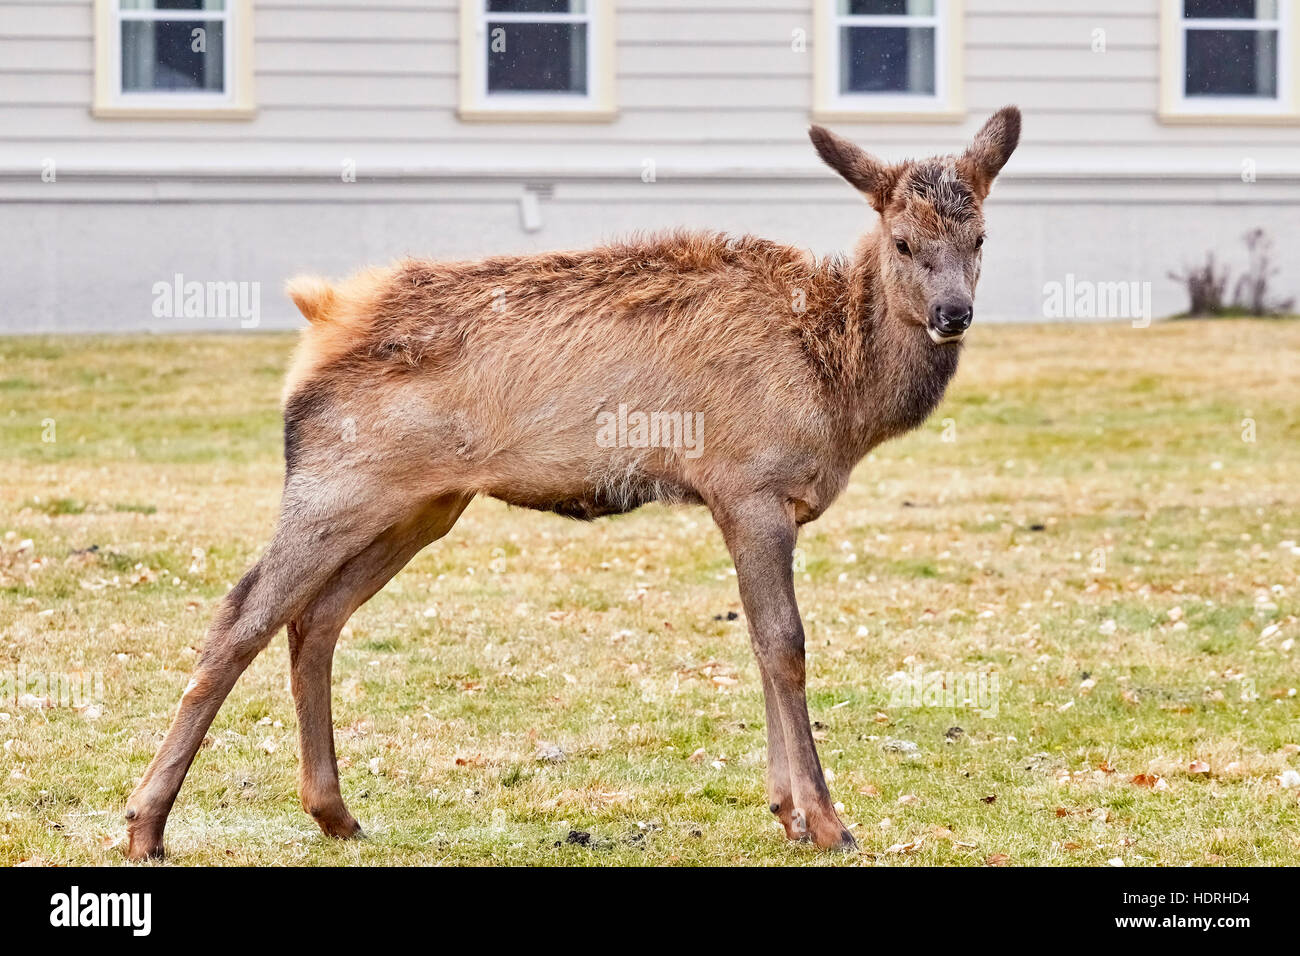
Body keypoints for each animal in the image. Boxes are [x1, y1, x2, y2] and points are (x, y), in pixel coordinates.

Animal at [124, 106, 1020, 860]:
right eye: (901, 240)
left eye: (980, 236)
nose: (952, 313)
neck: (839, 387)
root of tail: (321, 318)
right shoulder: (749, 484)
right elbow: (784, 644)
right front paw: (828, 820)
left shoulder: (760, 502)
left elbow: (762, 647)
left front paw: (787, 811)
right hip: (336, 480)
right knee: (242, 615)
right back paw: (146, 823)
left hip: (421, 504)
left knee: (317, 618)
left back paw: (335, 813)